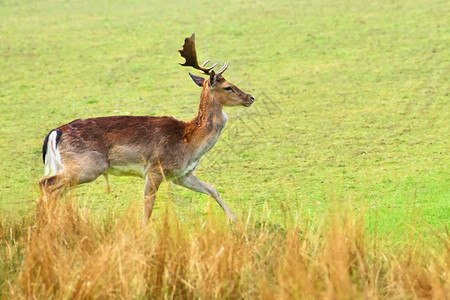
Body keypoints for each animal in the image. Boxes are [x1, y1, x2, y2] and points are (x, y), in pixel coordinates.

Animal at [39, 32, 255, 225]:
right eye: (228, 87)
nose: (250, 97)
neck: (189, 143)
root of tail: (55, 133)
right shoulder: (154, 169)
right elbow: (147, 206)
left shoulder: (181, 174)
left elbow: (212, 189)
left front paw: (235, 221)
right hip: (88, 166)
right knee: (46, 184)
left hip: (71, 167)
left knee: (56, 191)